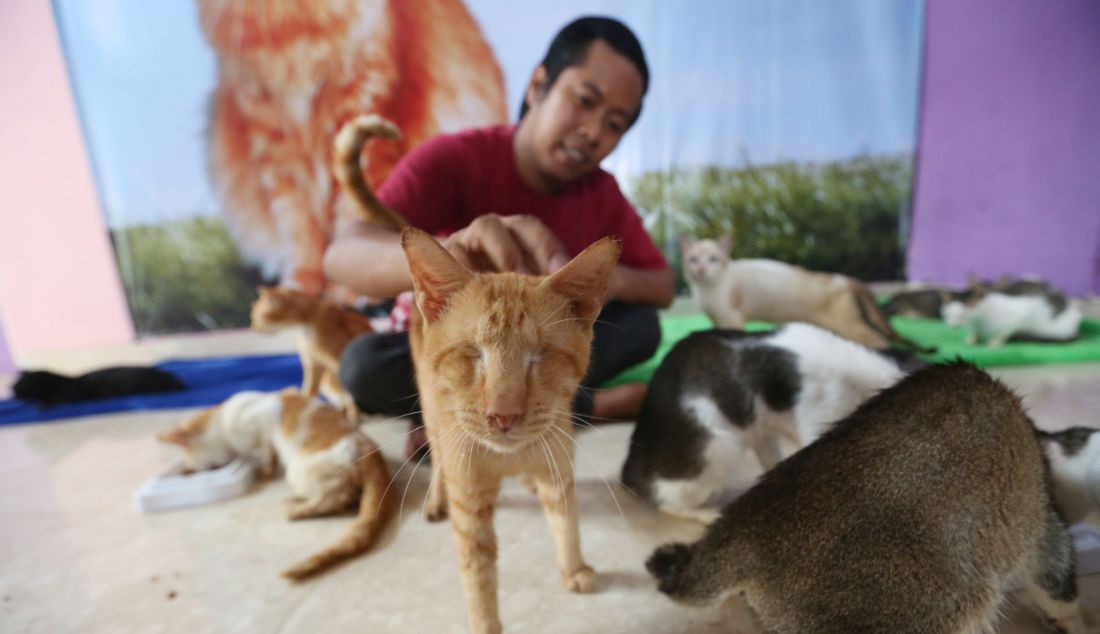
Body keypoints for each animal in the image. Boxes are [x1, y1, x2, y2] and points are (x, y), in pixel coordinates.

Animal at [159, 387, 391, 581]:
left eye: (193, 461)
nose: (191, 470)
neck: (222, 420)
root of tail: (374, 454)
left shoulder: (263, 425)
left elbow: (266, 454)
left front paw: (264, 471)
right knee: (345, 499)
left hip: (300, 469)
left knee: (337, 496)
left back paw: (296, 508)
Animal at [677, 234, 928, 352]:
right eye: (693, 260)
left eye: (713, 260)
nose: (700, 270)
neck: (705, 290)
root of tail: (851, 280)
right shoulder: (716, 318)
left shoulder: (731, 318)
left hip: (846, 324)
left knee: (881, 341)